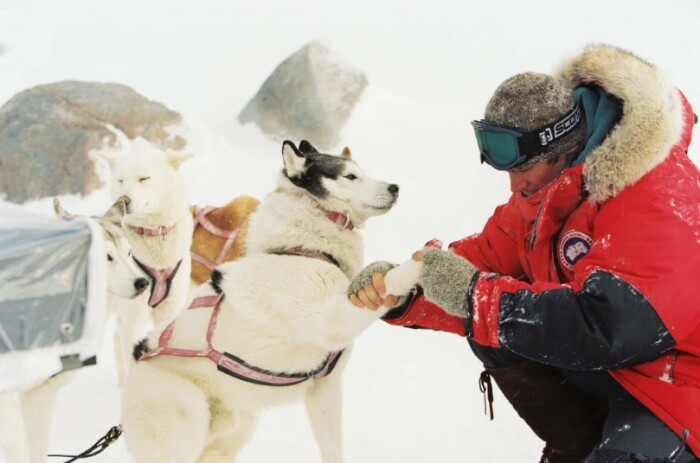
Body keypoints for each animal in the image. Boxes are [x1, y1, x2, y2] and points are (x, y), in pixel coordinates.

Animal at [119, 140, 404, 463]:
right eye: (350, 176)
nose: (395, 187)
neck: (304, 250)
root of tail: (136, 364)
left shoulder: (325, 389)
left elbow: (333, 449)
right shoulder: (332, 321)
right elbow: (390, 279)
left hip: (234, 431)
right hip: (181, 428)